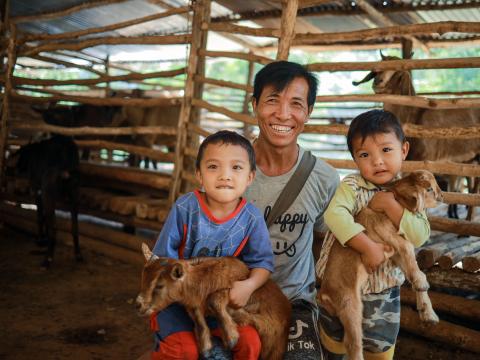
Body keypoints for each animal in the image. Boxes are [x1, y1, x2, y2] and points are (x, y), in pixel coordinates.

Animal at [7, 136, 82, 268]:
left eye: (21, 155)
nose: (16, 169)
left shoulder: (37, 189)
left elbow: (40, 216)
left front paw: (40, 239)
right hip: (74, 193)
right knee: (74, 226)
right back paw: (78, 255)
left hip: (48, 192)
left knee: (54, 227)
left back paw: (47, 259)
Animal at [137, 245, 290, 360]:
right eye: (143, 279)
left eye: (160, 285)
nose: (140, 305)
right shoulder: (193, 305)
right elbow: (199, 321)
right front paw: (206, 347)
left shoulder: (233, 288)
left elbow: (213, 300)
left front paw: (231, 338)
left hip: (275, 348)